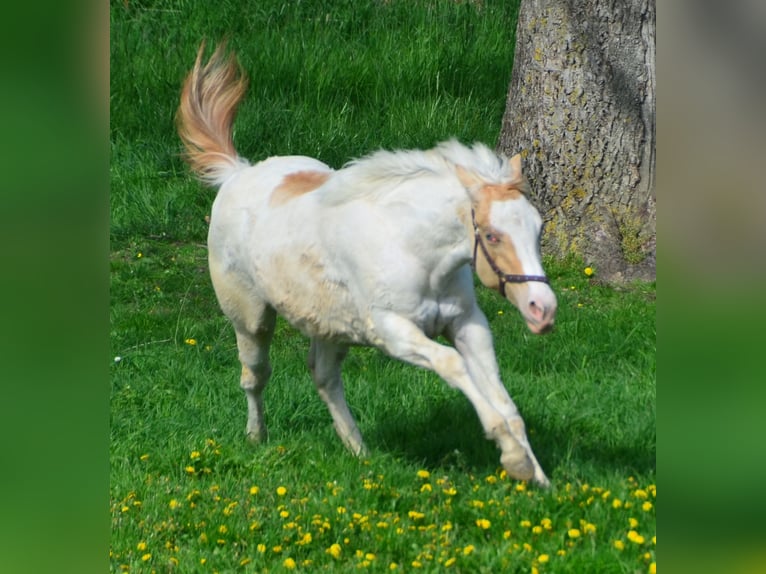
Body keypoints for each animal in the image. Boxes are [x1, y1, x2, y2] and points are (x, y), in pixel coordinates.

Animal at [177, 43, 557, 486]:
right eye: (493, 235)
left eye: (538, 227)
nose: (542, 309)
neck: (414, 249)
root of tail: (237, 173)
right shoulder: (393, 332)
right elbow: (453, 365)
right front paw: (513, 458)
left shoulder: (467, 323)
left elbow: (504, 400)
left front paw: (537, 477)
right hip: (251, 318)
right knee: (255, 375)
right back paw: (257, 437)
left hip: (329, 325)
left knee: (323, 376)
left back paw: (359, 451)